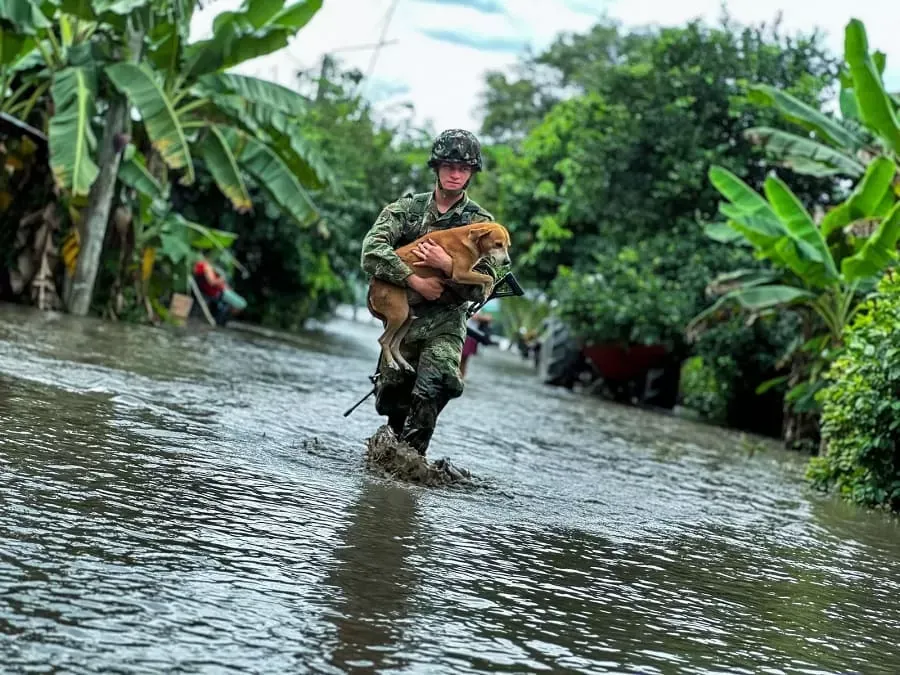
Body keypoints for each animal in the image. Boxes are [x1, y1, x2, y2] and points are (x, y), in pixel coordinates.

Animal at [364, 222, 506, 372]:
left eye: (507, 245)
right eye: (498, 244)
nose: (507, 261)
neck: (469, 238)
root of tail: (372, 285)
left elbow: (485, 275)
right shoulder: (460, 273)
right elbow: (488, 277)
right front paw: (487, 290)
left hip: (408, 317)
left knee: (394, 344)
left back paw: (403, 363)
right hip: (399, 314)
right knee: (384, 340)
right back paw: (391, 362)